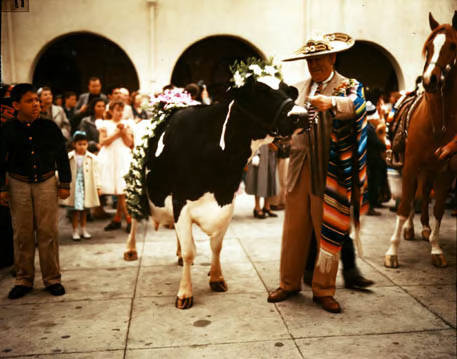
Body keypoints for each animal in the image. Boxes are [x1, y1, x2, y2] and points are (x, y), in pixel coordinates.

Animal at [124, 76, 304, 310]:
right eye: (261, 91)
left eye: (288, 91)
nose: (301, 115)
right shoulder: (181, 203)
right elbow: (191, 251)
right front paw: (184, 293)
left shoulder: (226, 204)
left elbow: (216, 246)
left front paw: (217, 278)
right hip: (134, 184)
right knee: (135, 217)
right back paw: (130, 250)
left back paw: (177, 254)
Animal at [384, 10, 456, 270]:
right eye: (428, 47)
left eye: (453, 45)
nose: (430, 80)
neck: (438, 123)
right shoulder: (410, 165)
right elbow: (404, 205)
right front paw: (392, 252)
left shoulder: (447, 171)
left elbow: (439, 209)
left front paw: (436, 249)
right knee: (414, 195)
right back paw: (409, 229)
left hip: (430, 169)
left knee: (424, 195)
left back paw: (424, 229)